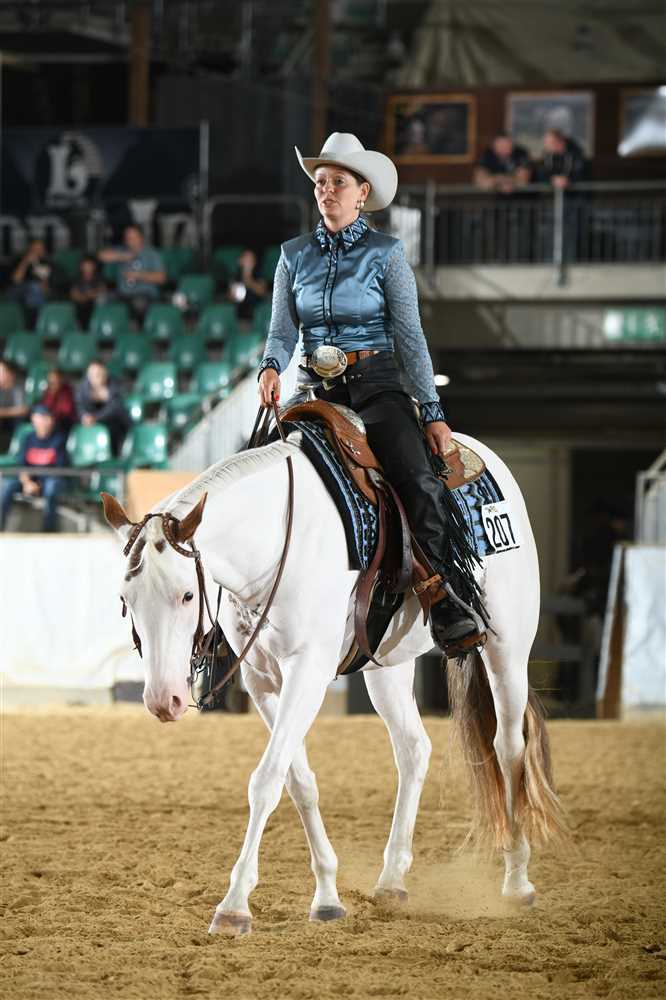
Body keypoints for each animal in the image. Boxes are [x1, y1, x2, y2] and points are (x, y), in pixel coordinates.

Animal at [101, 430, 565, 936]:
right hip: (387, 667)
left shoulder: (308, 669)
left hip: (507, 647)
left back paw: (517, 881)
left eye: (187, 594)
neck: (276, 540)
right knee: (414, 750)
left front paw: (234, 904)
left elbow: (266, 780)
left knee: (508, 746)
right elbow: (297, 780)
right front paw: (326, 895)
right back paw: (392, 880)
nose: (162, 700)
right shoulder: (263, 680)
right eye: (125, 598)